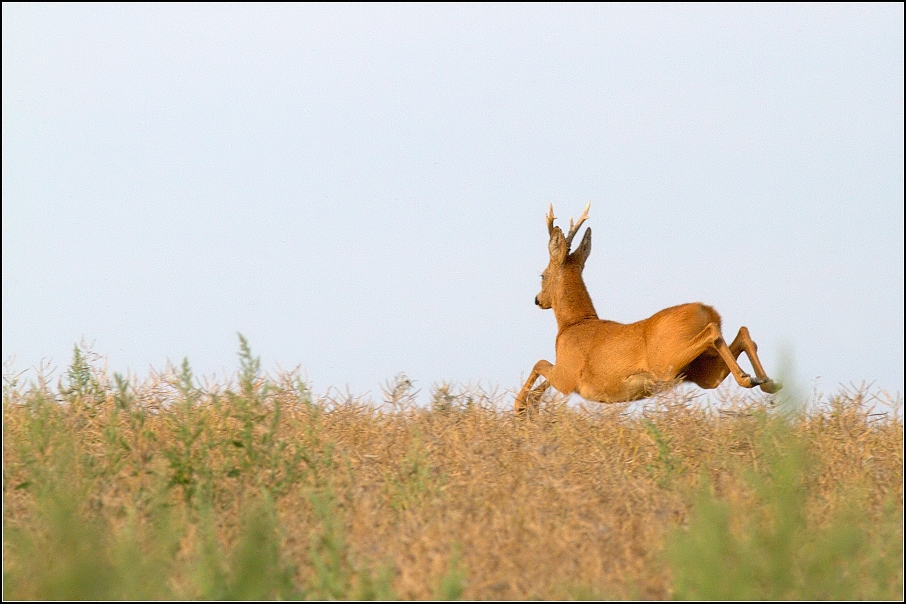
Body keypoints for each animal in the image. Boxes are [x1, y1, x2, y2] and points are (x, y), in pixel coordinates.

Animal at [512, 203, 780, 416]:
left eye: (542, 275)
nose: (537, 300)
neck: (573, 324)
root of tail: (706, 310)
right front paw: (530, 405)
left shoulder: (567, 375)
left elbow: (540, 363)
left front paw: (520, 406)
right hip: (702, 371)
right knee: (742, 333)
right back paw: (766, 381)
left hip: (667, 362)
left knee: (714, 332)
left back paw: (750, 378)